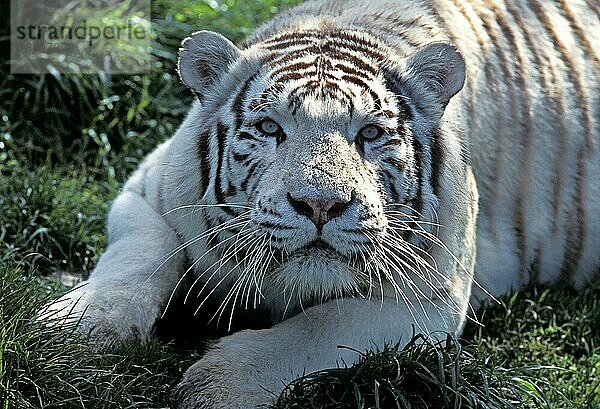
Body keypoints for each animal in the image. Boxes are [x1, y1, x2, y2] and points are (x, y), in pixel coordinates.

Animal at [48, 0, 600, 406]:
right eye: (270, 128)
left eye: (370, 134)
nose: (320, 205)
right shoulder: (145, 190)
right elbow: (137, 258)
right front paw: (74, 329)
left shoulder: (432, 301)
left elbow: (320, 327)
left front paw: (215, 386)